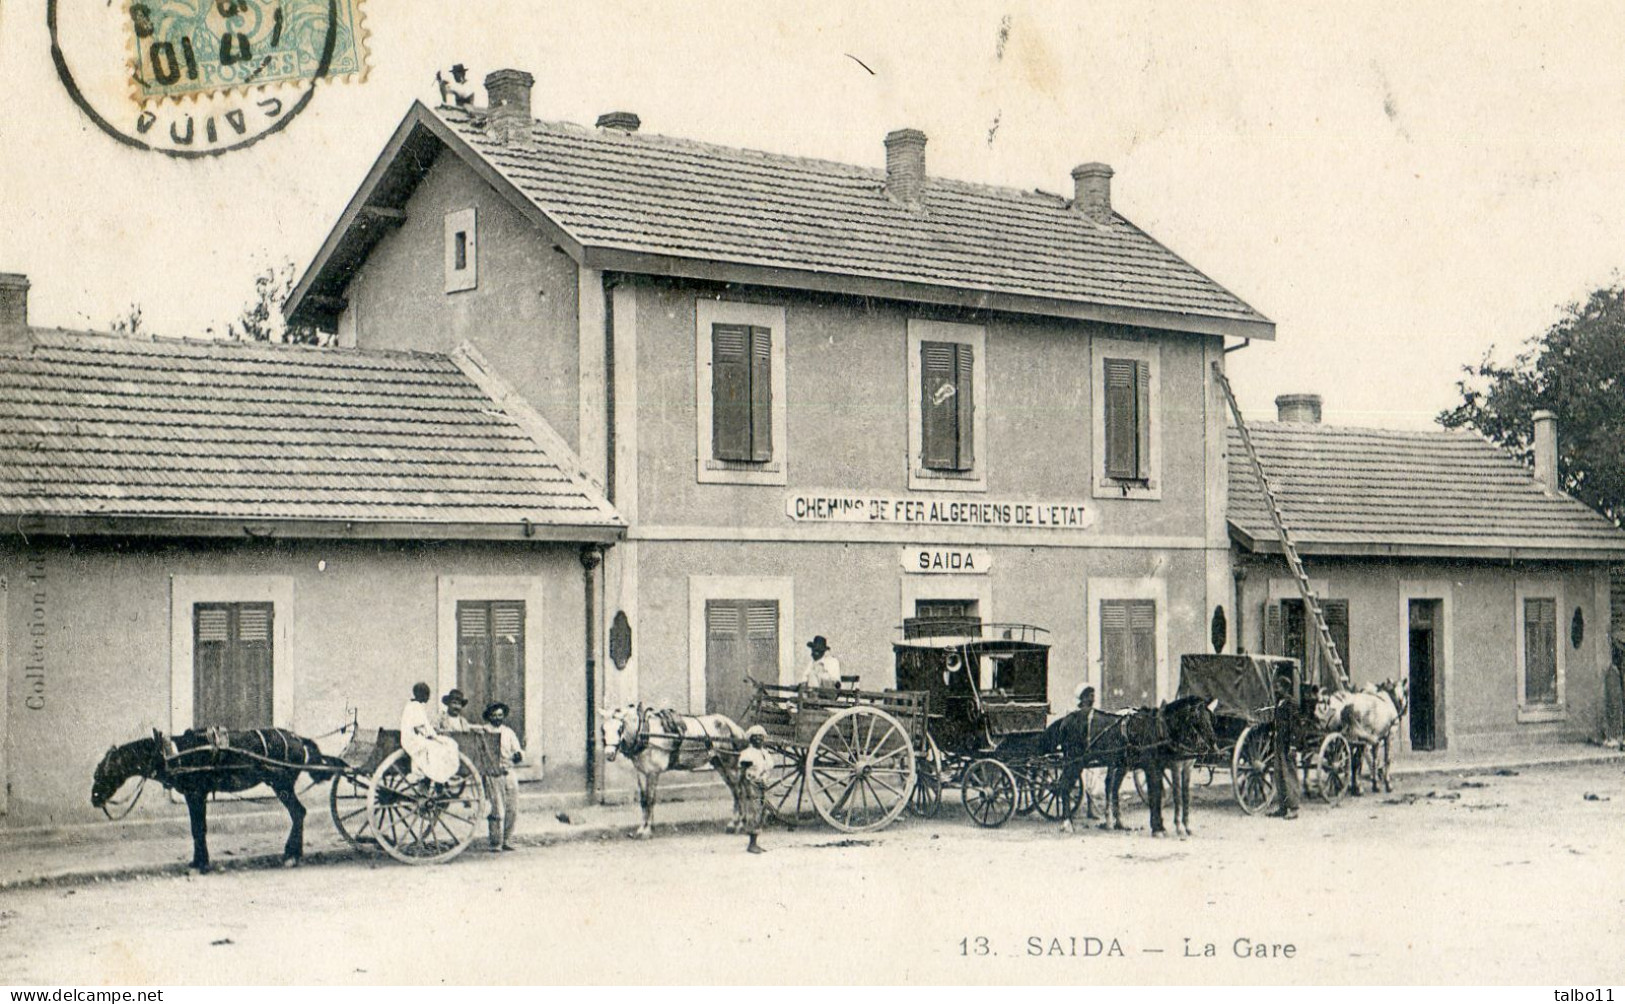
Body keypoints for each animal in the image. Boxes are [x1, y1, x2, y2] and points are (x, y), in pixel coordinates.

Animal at [91, 727, 342, 870]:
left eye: (103, 772)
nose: (94, 799)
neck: (171, 753)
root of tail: (298, 738)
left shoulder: (195, 794)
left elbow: (198, 829)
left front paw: (201, 863)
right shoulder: (194, 796)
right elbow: (197, 828)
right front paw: (198, 861)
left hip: (282, 785)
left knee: (298, 813)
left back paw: (292, 855)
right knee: (299, 813)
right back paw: (293, 854)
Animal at [601, 705, 750, 838]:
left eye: (619, 729)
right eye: (603, 730)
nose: (608, 754)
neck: (646, 733)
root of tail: (735, 727)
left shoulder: (653, 773)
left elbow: (650, 800)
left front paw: (647, 830)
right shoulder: (642, 773)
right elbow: (643, 800)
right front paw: (642, 828)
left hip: (730, 764)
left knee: (739, 791)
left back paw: (740, 824)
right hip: (720, 765)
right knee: (735, 791)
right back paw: (733, 823)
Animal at [1046, 692, 1215, 831]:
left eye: (1210, 716)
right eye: (1197, 717)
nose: (1211, 743)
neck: (1158, 729)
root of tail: (1067, 718)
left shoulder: (1163, 767)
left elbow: (1162, 793)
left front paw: (1162, 825)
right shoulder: (1153, 767)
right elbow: (1155, 794)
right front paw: (1158, 828)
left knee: (1108, 787)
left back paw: (1116, 823)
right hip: (1074, 761)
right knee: (1064, 786)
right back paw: (1067, 823)